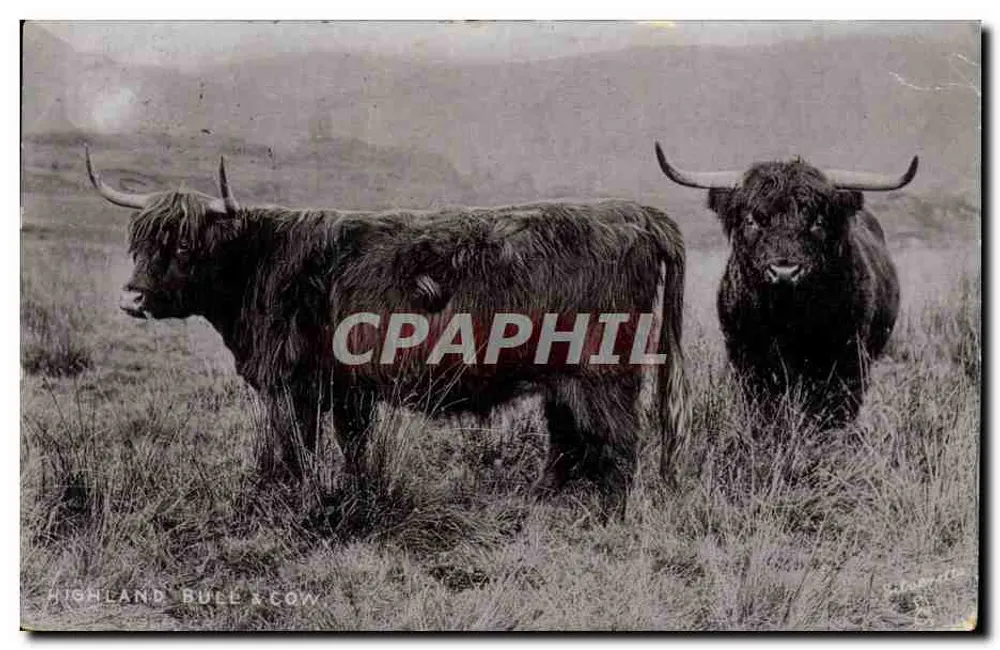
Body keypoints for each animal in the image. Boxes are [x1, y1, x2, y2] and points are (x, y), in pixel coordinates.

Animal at [85, 148, 688, 516]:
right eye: (139, 243)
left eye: (184, 245)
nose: (131, 298)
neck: (260, 262)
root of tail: (636, 213)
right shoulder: (345, 388)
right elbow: (350, 446)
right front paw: (351, 494)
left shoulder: (292, 385)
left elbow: (290, 448)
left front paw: (282, 498)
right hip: (563, 377)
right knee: (568, 440)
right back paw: (541, 502)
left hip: (603, 373)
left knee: (618, 444)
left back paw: (611, 514)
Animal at [654, 142, 914, 425]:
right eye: (752, 220)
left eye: (818, 221)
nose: (785, 271)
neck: (788, 319)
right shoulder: (746, 356)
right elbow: (763, 405)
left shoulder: (849, 359)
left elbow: (835, 407)